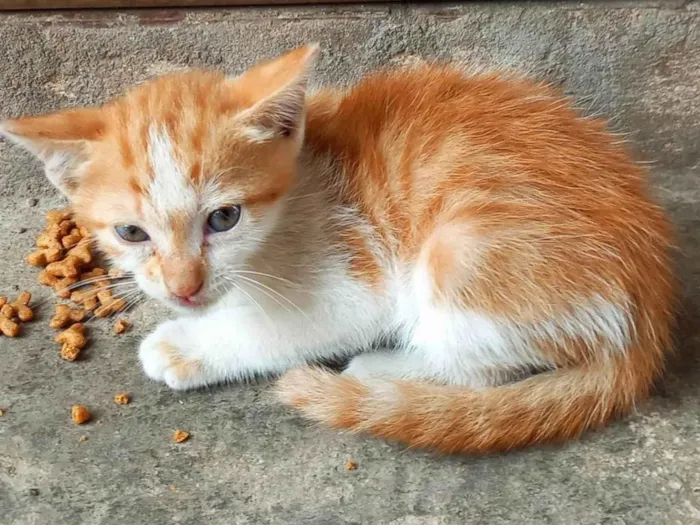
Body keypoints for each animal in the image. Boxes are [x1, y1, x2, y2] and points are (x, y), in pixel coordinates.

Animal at [1, 45, 680, 452]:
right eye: (131, 234)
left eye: (224, 218)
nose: (184, 287)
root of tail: (652, 307)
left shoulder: (356, 277)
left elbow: (282, 328)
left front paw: (189, 346)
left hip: (461, 251)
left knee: (479, 362)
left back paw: (386, 371)